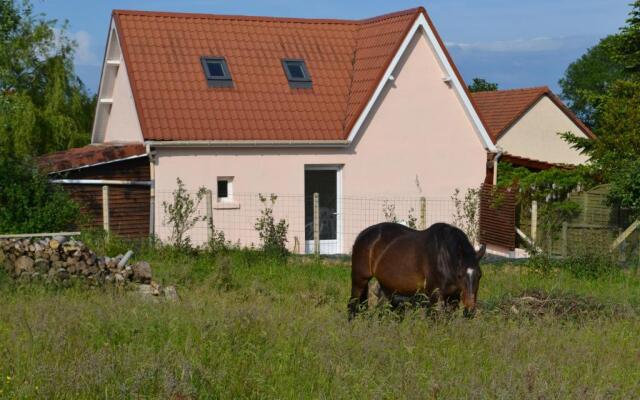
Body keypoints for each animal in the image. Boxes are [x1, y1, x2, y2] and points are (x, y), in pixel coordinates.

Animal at [350, 222, 484, 318]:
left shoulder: (453, 297)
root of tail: (362, 234)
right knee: (352, 305)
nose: (470, 308)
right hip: (359, 280)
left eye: (479, 275)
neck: (443, 256)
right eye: (460, 275)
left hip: (386, 286)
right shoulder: (434, 295)